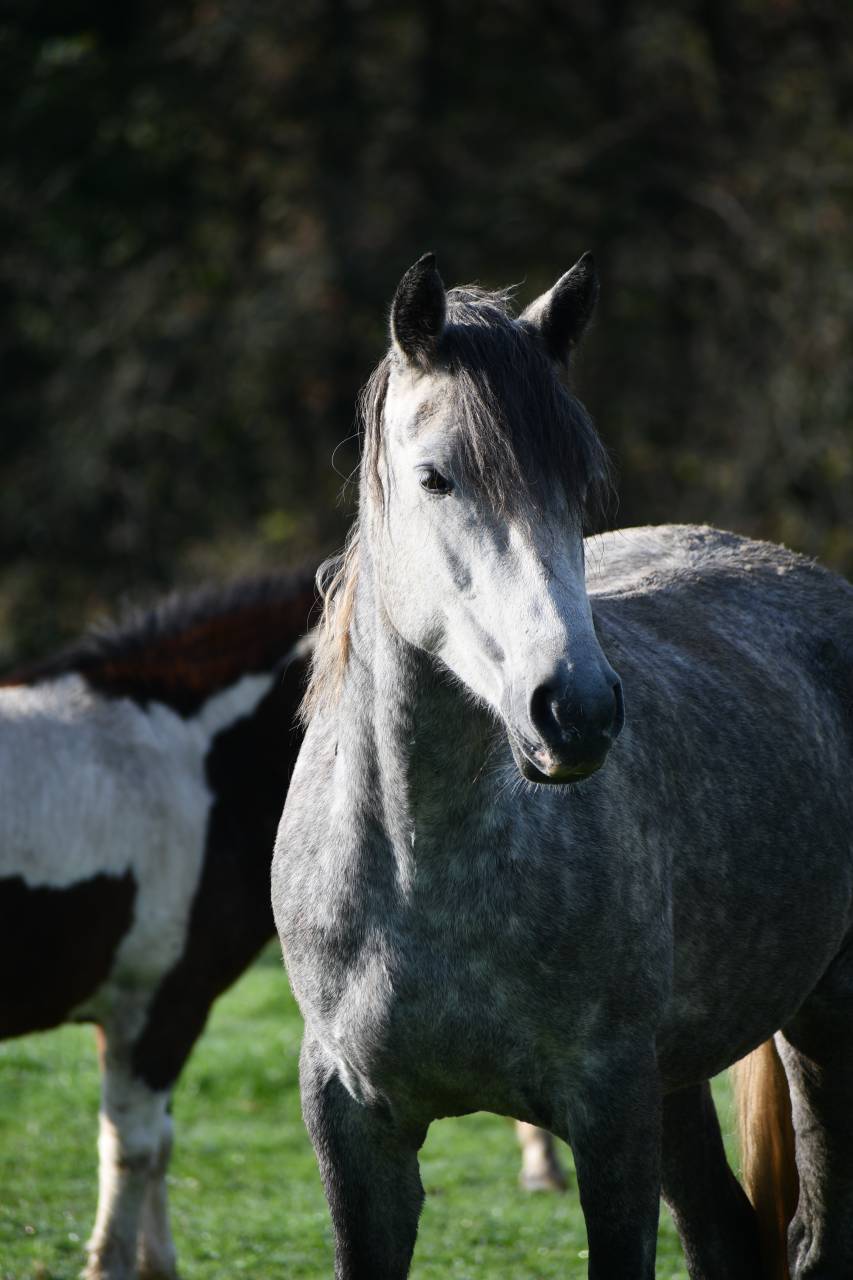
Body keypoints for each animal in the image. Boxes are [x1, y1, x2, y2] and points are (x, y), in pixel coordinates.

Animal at [272, 252, 853, 1279]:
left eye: (580, 484)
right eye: (436, 478)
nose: (574, 710)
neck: (420, 873)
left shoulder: (610, 1112)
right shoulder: (351, 1125)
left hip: (822, 1028)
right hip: (687, 1079)